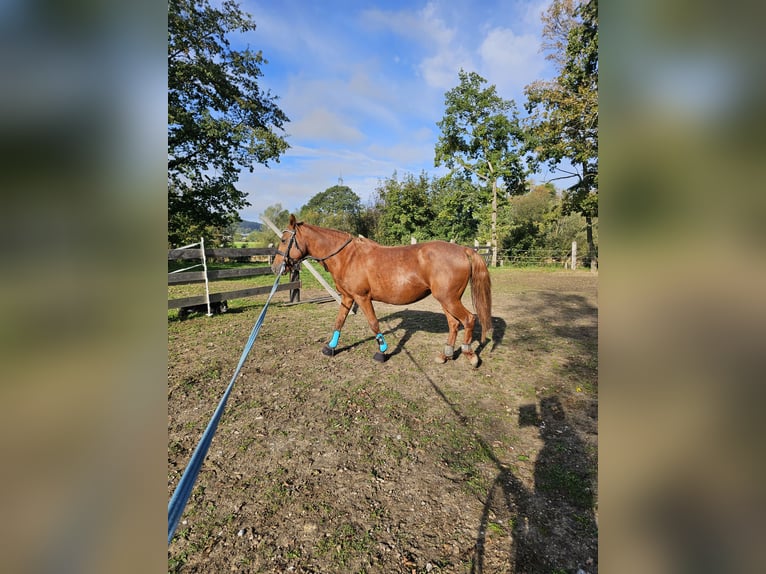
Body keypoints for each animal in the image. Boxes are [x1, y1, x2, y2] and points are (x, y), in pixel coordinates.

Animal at [271, 215, 492, 367]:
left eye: (283, 240)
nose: (275, 267)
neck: (347, 257)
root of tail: (463, 250)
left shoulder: (362, 297)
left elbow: (373, 324)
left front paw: (382, 352)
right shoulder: (348, 297)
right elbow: (339, 321)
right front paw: (330, 348)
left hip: (449, 299)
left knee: (469, 319)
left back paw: (470, 355)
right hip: (447, 299)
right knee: (454, 324)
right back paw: (445, 355)